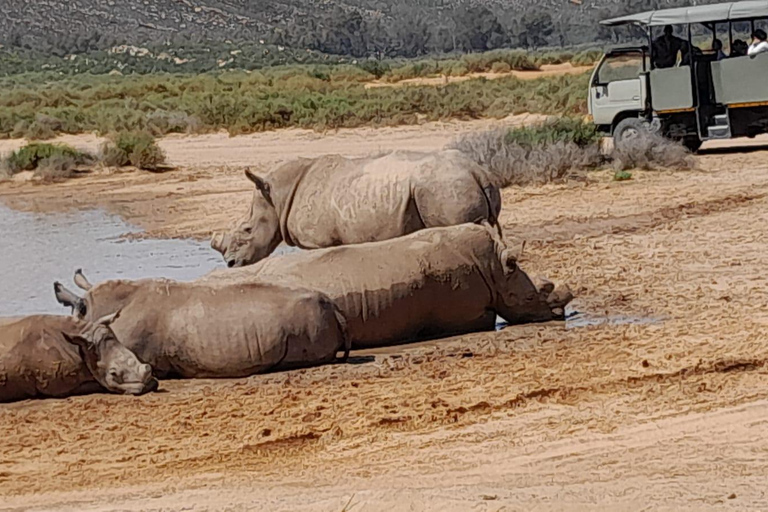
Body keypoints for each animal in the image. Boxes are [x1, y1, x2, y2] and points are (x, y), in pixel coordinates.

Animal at [210, 148, 500, 266]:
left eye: (247, 229)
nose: (231, 264)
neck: (277, 198)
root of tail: (477, 172)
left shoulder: (319, 242)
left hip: (442, 186)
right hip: (456, 183)